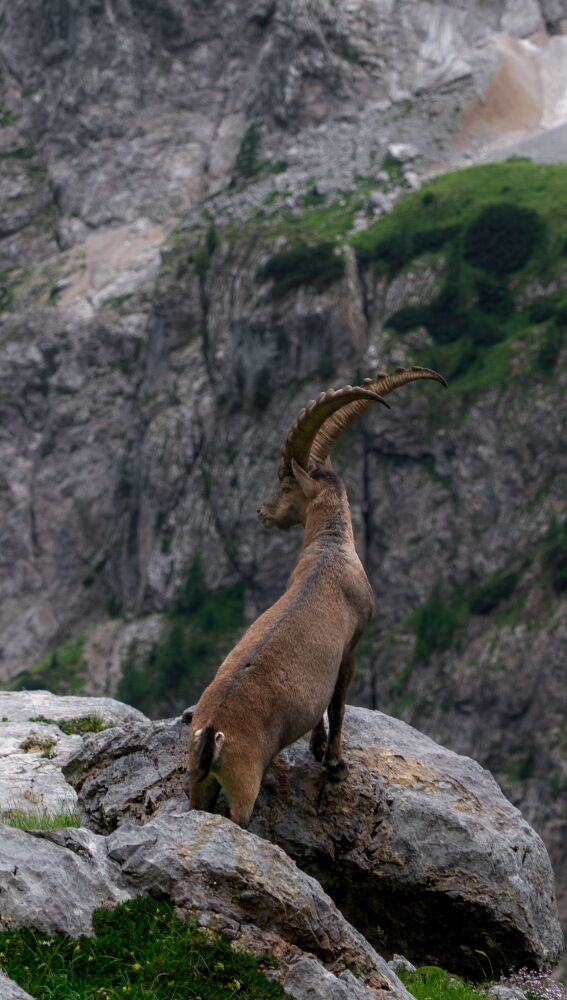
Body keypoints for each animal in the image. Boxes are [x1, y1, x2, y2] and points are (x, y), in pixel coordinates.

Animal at [187, 366, 446, 827]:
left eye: (286, 483)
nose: (262, 512)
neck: (330, 548)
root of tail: (211, 732)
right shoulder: (352, 648)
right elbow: (338, 704)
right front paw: (336, 763)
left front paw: (316, 747)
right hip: (243, 783)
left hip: (196, 786)